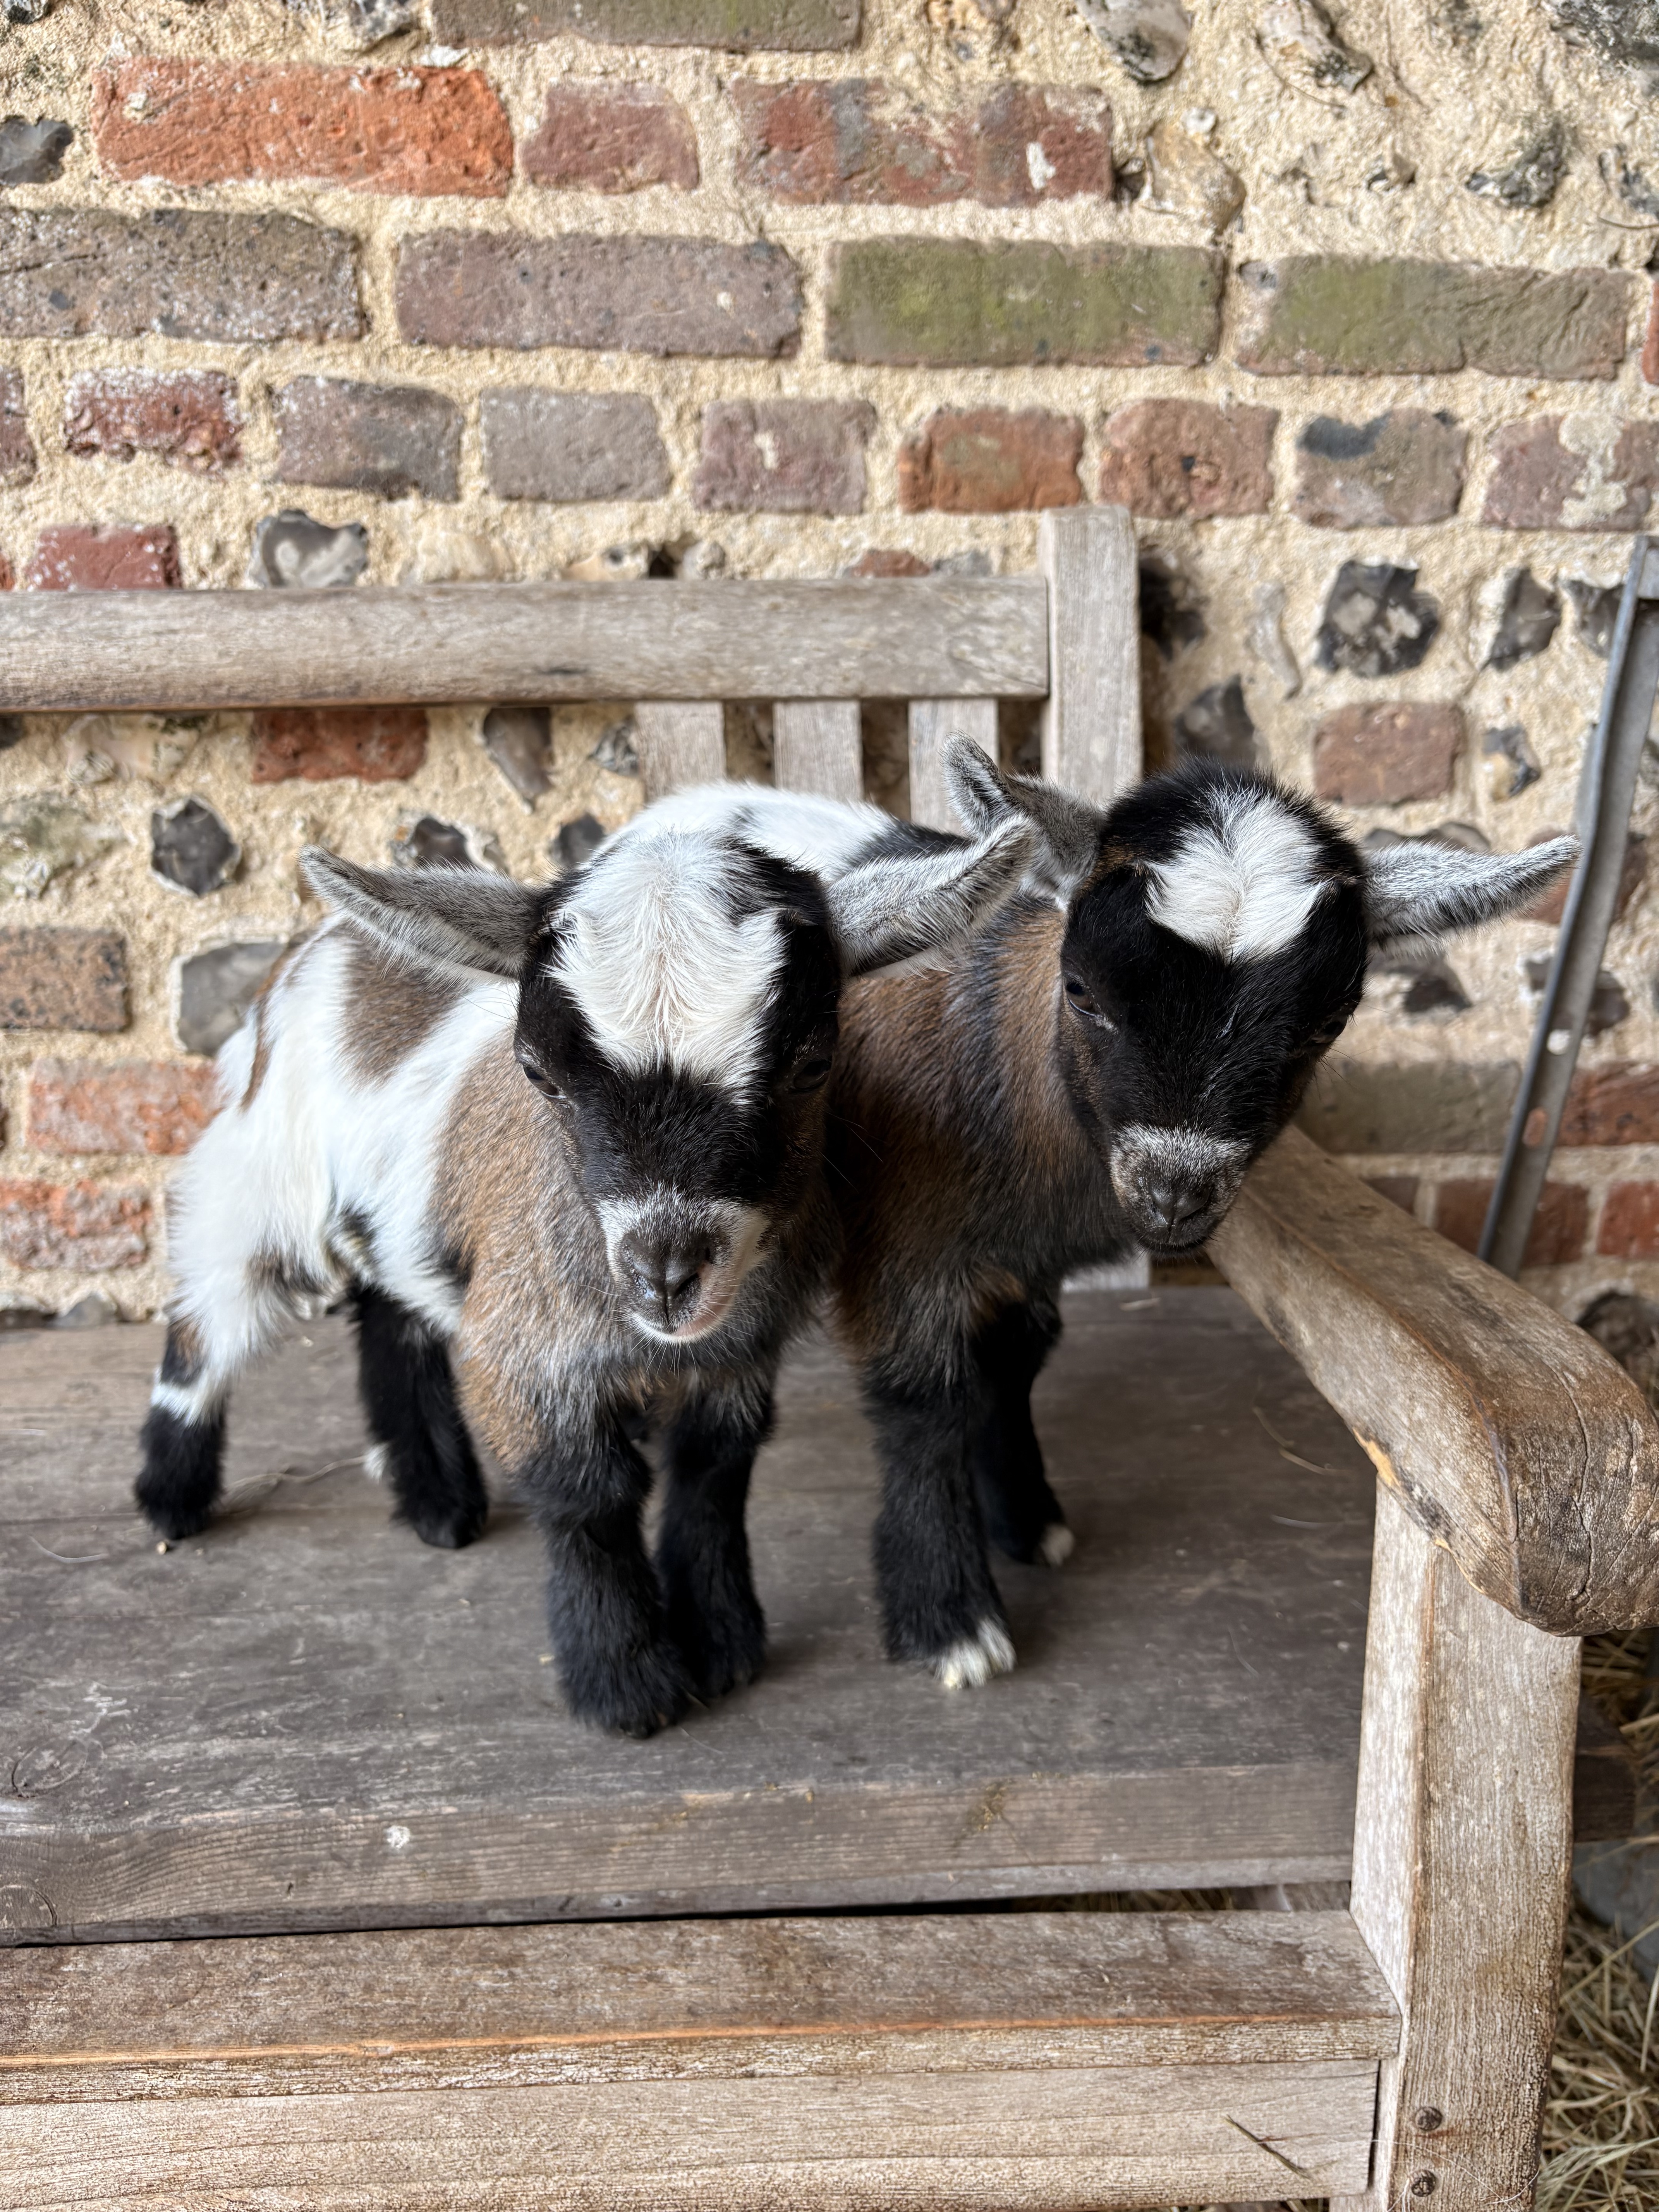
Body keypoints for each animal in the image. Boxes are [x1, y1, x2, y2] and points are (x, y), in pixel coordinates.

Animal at [134, 794, 1032, 1736]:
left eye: (813, 1061)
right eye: (539, 1072)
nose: (666, 1278)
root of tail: (315, 946)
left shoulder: (737, 1355)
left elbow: (714, 1470)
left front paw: (721, 1643)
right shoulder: (526, 1352)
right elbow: (585, 1495)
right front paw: (625, 1685)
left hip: (401, 1212)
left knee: (389, 1306)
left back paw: (435, 1501)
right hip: (261, 1178)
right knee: (209, 1316)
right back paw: (172, 1497)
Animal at [650, 747, 1577, 1690]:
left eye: (1325, 1023)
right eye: (1082, 991)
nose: (1174, 1195)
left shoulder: (1025, 1260)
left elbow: (1015, 1362)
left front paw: (1027, 1520)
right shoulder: (902, 1247)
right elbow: (923, 1404)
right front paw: (951, 1619)